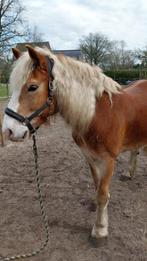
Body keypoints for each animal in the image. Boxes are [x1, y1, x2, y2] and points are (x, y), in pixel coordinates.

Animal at [2, 45, 147, 242]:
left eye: (32, 87)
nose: (8, 131)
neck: (97, 114)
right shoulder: (90, 156)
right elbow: (97, 186)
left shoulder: (109, 160)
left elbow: (102, 193)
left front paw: (100, 229)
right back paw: (129, 173)